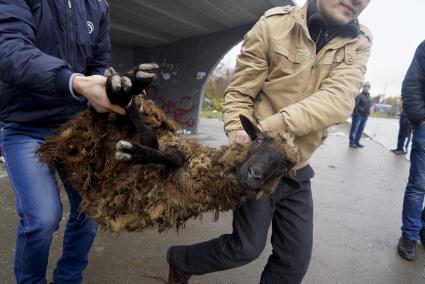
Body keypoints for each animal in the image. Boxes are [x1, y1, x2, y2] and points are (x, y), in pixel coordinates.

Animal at [39, 67, 298, 232]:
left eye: (283, 168)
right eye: (258, 140)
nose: (254, 176)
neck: (201, 172)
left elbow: (163, 149)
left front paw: (134, 151)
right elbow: (153, 137)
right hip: (95, 129)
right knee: (103, 108)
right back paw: (130, 81)